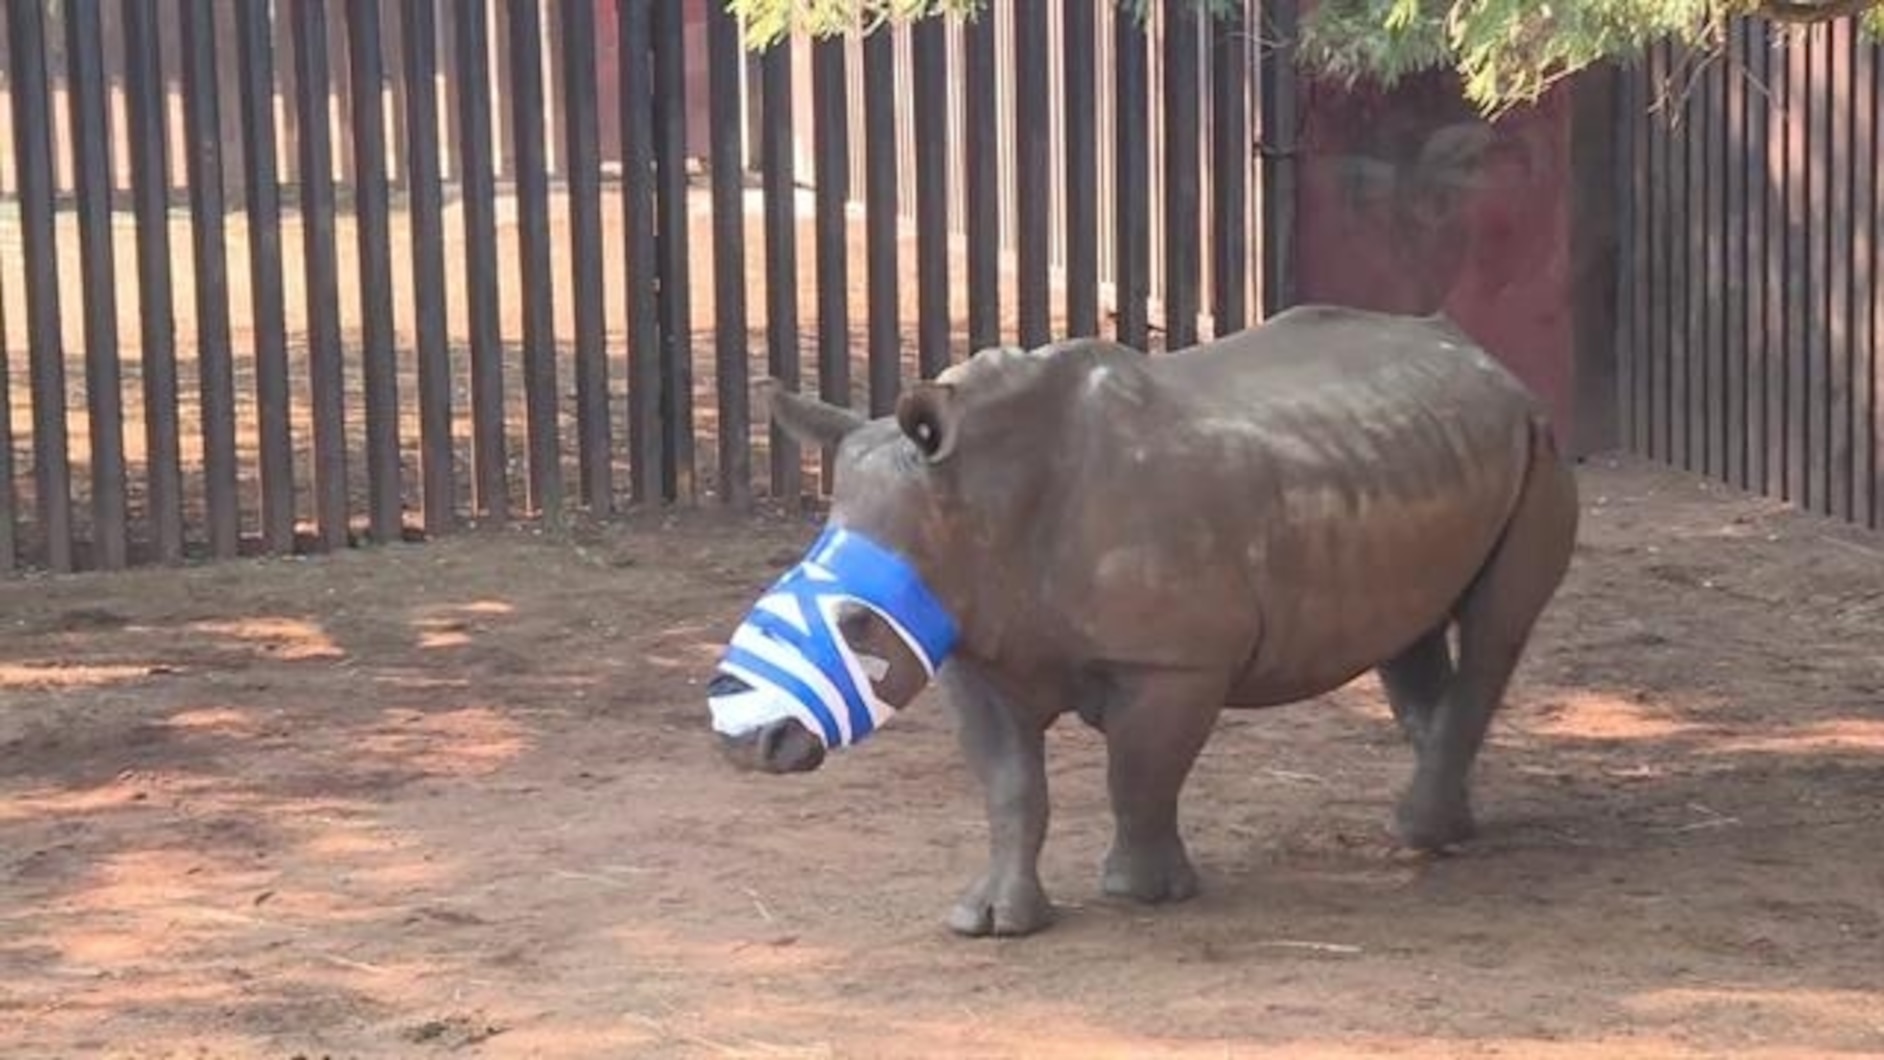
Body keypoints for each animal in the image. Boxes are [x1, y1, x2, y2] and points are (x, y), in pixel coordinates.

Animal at [707, 304, 1579, 938]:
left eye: (856, 623)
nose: (751, 744)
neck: (976, 496)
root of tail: (1488, 360)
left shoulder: (1175, 660)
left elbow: (1139, 771)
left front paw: (1142, 894)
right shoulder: (971, 647)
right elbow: (1012, 787)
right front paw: (989, 922)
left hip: (1539, 440)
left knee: (1496, 628)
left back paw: (1419, 836)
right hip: (1413, 454)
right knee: (1409, 630)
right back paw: (1449, 826)